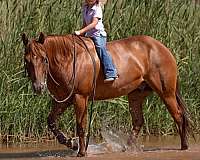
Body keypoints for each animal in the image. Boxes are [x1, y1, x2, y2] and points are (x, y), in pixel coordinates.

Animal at [21, 32, 189, 156]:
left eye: (44, 59)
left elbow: (80, 125)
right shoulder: (63, 100)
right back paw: (126, 148)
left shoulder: (80, 98)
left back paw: (184, 146)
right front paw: (71, 143)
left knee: (178, 116)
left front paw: (81, 152)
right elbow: (51, 122)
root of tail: (161, 47)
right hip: (136, 94)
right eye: (27, 60)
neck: (69, 60)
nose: (38, 87)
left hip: (166, 92)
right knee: (138, 121)